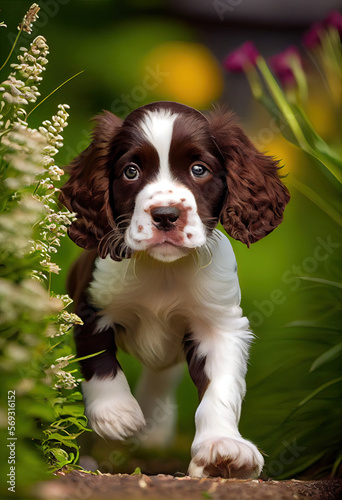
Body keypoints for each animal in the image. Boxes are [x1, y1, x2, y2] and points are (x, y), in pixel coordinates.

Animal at [60, 99, 290, 478]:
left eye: (199, 169)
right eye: (131, 172)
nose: (166, 215)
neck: (163, 270)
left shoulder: (219, 326)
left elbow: (221, 387)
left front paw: (223, 447)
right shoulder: (90, 302)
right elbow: (98, 356)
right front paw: (116, 413)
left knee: (161, 377)